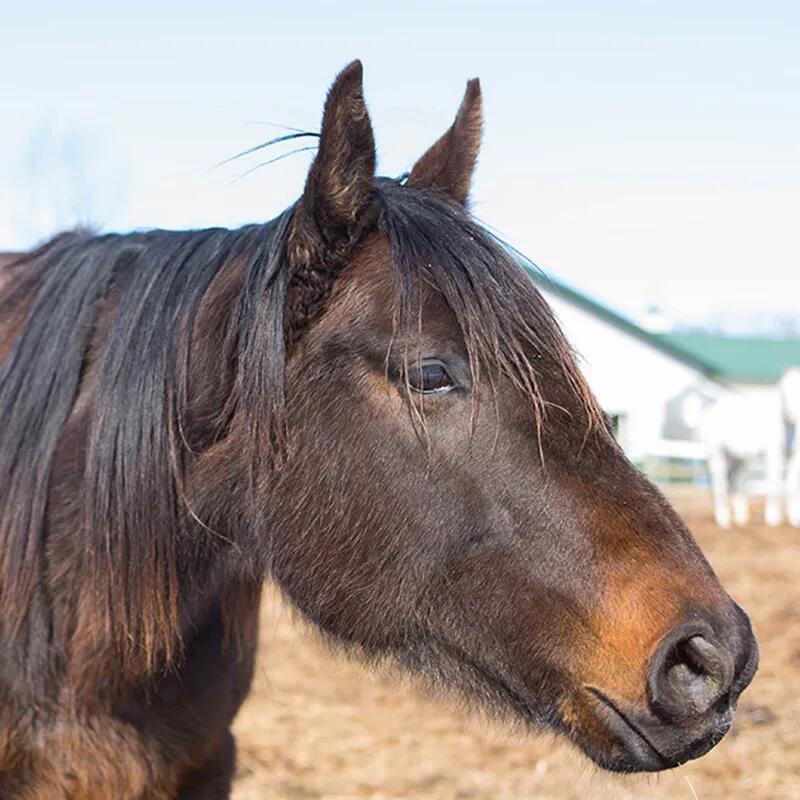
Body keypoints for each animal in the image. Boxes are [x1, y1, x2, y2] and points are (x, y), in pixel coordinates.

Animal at [700, 368, 800, 528]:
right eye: (783, 392)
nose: (793, 416)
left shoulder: (794, 456)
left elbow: (792, 486)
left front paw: (794, 520)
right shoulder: (773, 453)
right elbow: (773, 483)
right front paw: (772, 519)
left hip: (737, 458)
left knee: (733, 481)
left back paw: (740, 519)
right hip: (716, 453)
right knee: (719, 482)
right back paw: (724, 520)